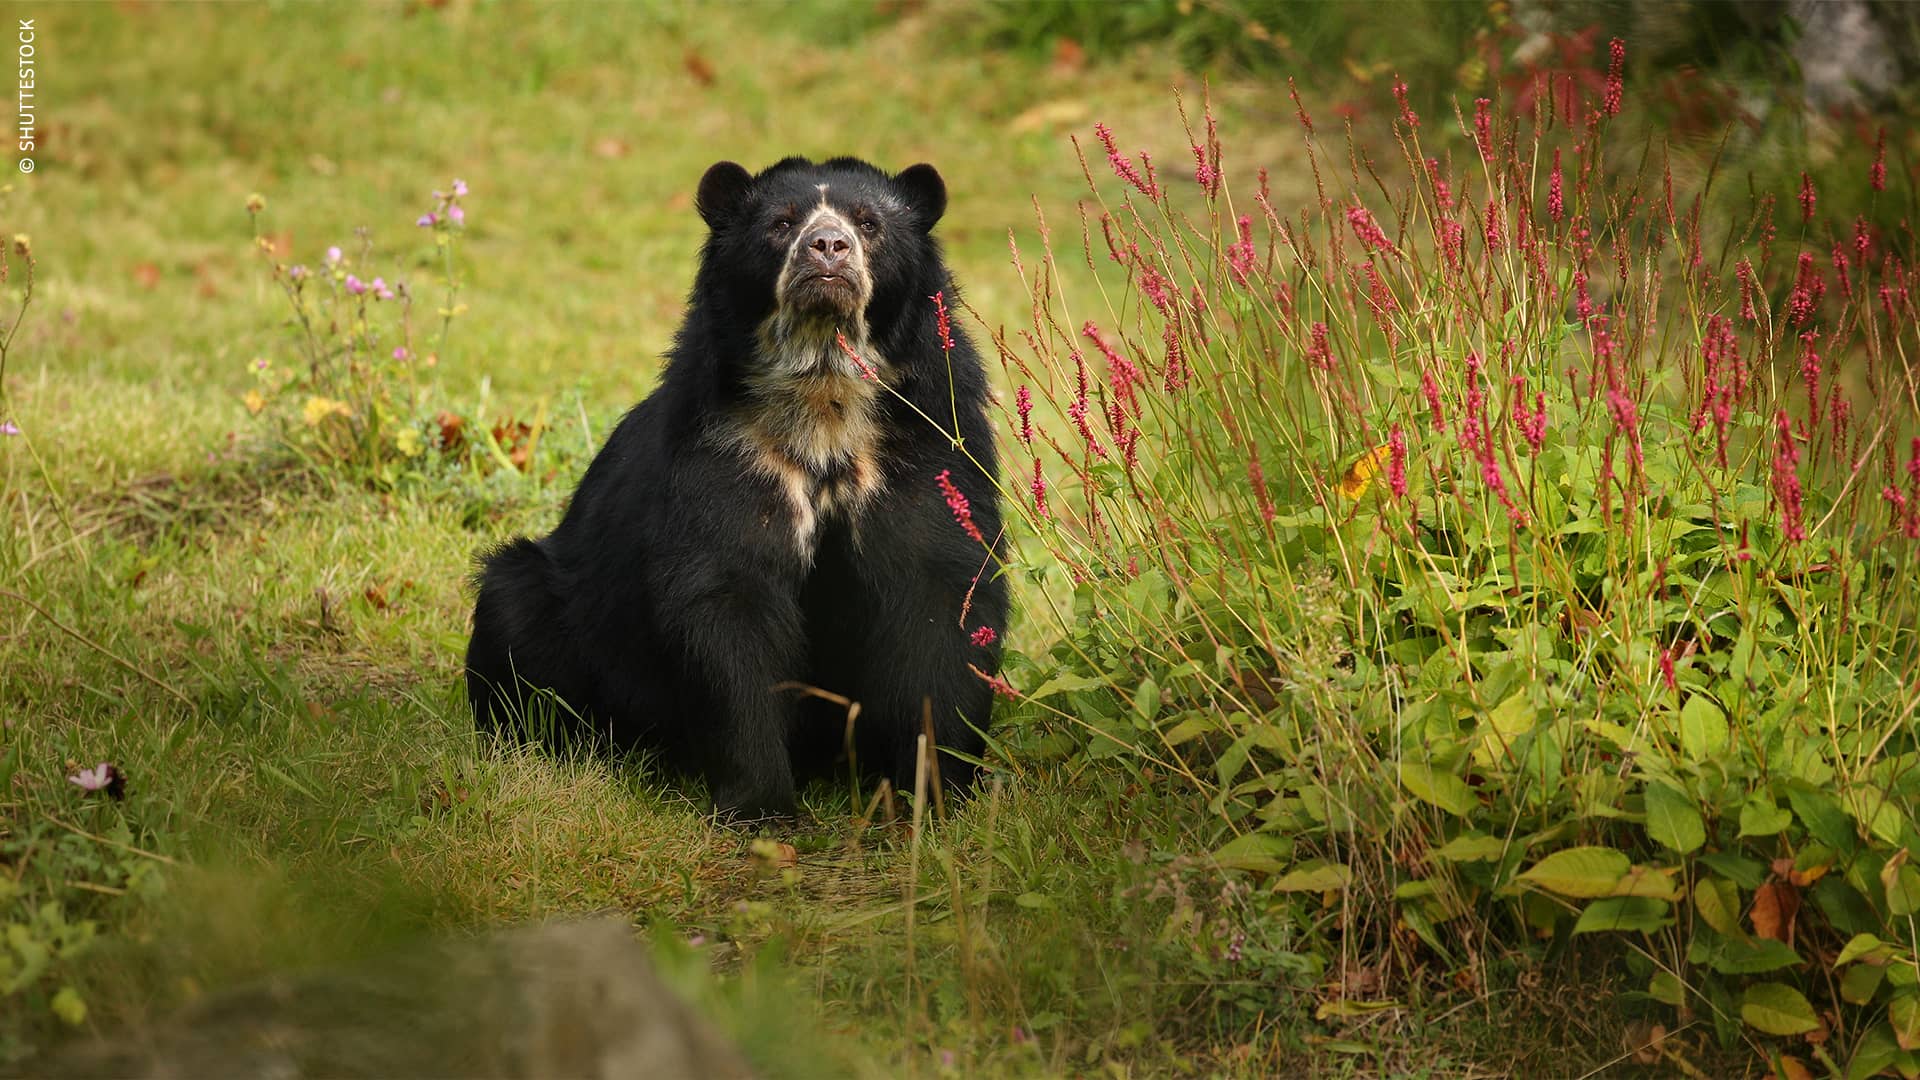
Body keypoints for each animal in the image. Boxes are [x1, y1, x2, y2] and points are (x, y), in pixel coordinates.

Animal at [464, 156, 1007, 820]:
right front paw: (760, 806)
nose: (828, 248)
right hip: (554, 608)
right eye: (782, 224)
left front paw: (935, 792)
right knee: (515, 619)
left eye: (869, 223)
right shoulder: (725, 450)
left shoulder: (925, 443)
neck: (824, 392)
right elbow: (729, 603)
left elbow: (940, 593)